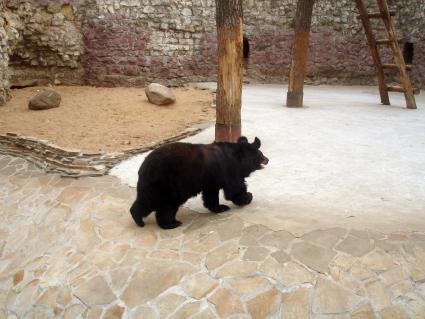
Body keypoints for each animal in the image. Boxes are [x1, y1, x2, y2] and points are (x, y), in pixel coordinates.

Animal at [130, 137, 268, 230]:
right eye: (261, 154)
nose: (267, 159)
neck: (239, 158)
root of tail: (144, 168)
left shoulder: (211, 179)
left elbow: (211, 195)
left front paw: (220, 207)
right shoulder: (229, 170)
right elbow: (235, 189)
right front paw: (248, 197)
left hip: (152, 186)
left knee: (145, 201)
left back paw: (137, 218)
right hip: (168, 184)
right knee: (167, 205)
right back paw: (172, 223)